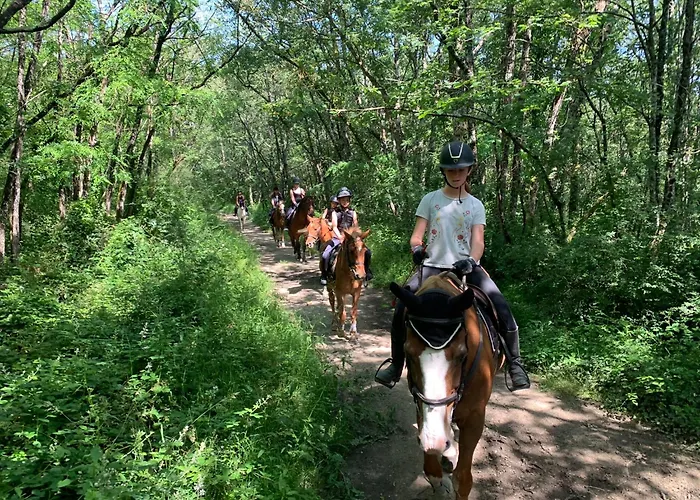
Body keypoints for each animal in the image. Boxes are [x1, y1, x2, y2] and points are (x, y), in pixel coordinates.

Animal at [388, 272, 504, 499]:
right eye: (408, 353)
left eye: (461, 355)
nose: (435, 440)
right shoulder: (420, 404)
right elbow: (432, 470)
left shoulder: (475, 417)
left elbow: (463, 480)